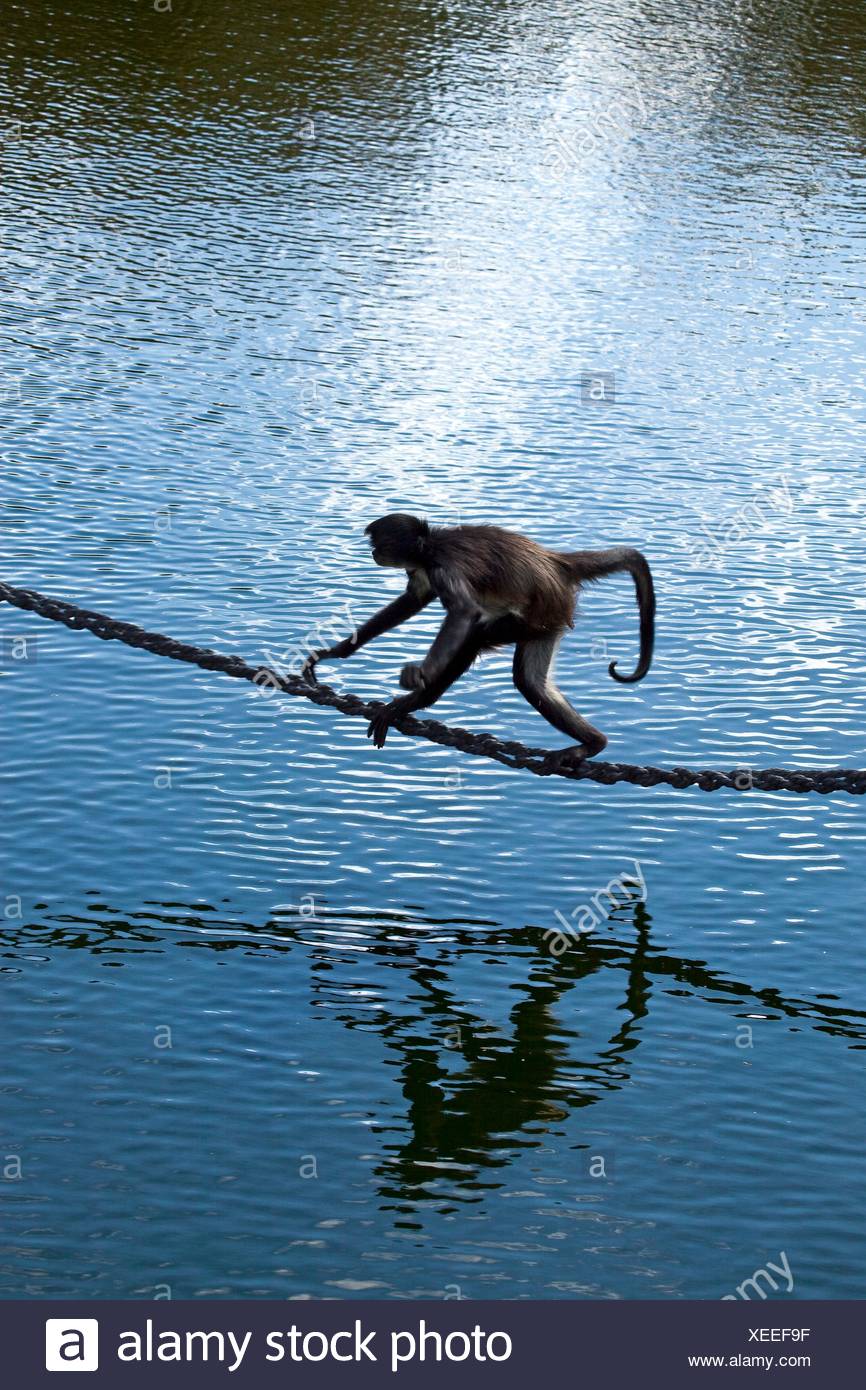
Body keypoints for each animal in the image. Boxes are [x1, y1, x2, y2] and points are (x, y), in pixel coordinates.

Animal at [301, 514, 653, 767]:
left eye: (377, 542)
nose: (372, 552)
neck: (430, 545)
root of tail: (558, 564)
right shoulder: (422, 571)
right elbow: (412, 601)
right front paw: (336, 652)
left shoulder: (443, 567)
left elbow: (464, 612)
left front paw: (420, 674)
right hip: (547, 623)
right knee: (530, 680)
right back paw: (593, 744)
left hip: (543, 612)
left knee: (475, 637)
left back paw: (413, 702)